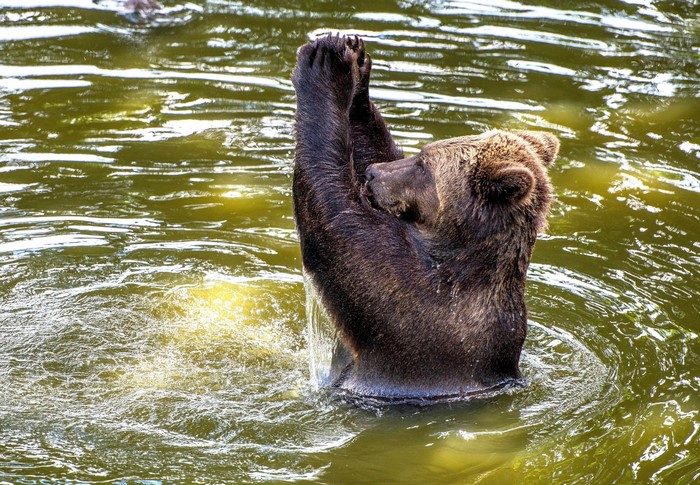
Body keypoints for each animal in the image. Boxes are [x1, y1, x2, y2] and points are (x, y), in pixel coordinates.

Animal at [292, 34, 559, 400]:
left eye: (423, 165)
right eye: (419, 153)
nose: (374, 174)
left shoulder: (409, 303)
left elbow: (335, 220)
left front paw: (326, 65)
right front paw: (357, 65)